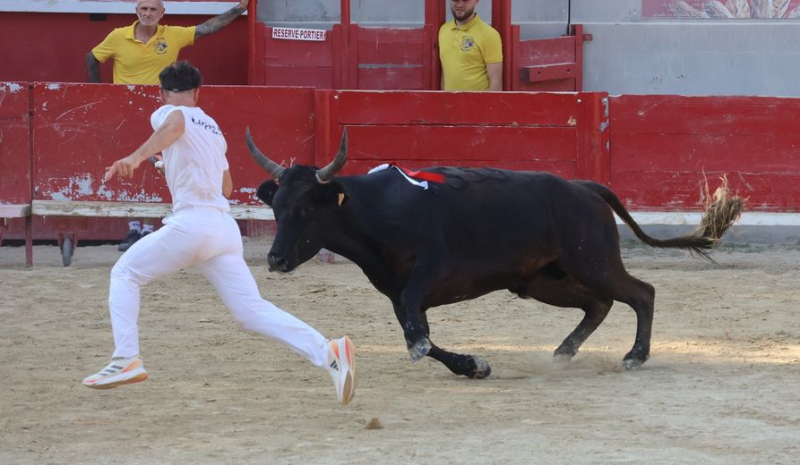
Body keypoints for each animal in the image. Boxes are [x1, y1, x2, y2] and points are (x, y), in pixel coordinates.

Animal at [244, 129, 736, 378]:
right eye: (277, 207)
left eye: (308, 209)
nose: (275, 260)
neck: (378, 210)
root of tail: (584, 188)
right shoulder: (395, 292)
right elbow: (417, 331)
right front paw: (473, 365)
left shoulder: (430, 272)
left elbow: (416, 333)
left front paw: (444, 355)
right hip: (543, 280)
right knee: (599, 304)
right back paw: (563, 352)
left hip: (593, 261)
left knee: (640, 293)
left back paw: (634, 356)